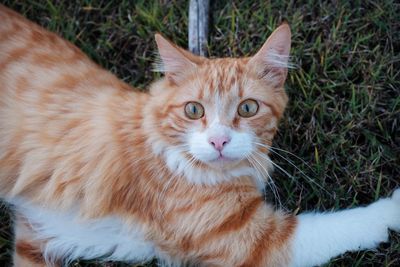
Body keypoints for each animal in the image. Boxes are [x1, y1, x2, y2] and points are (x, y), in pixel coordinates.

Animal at [0, 4, 400, 267]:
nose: (219, 141)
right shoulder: (257, 241)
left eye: (247, 108)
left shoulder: (35, 236)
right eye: (194, 110)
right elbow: (345, 225)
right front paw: (392, 208)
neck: (160, 139)